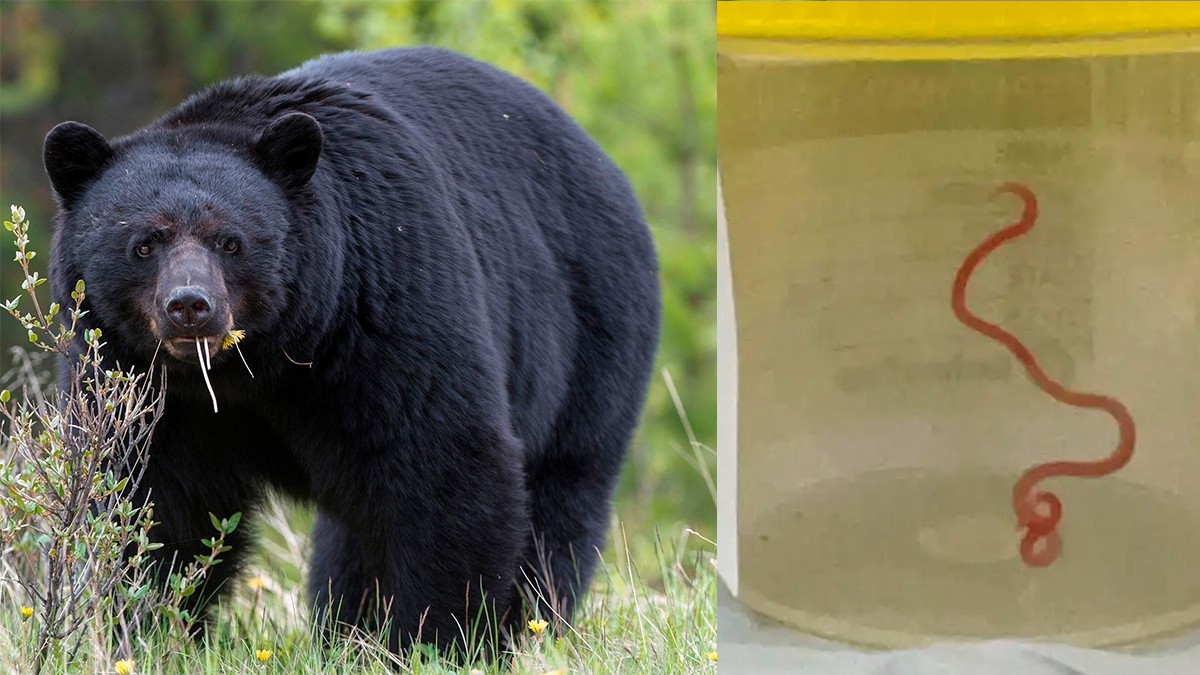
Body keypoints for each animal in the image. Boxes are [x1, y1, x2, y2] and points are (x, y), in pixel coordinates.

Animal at [41, 47, 661, 658]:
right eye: (144, 243)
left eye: (230, 241)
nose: (190, 306)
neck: (262, 360)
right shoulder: (139, 381)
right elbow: (151, 498)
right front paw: (146, 631)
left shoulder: (385, 306)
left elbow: (443, 465)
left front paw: (435, 640)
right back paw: (346, 629)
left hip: (589, 333)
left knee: (562, 496)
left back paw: (529, 627)